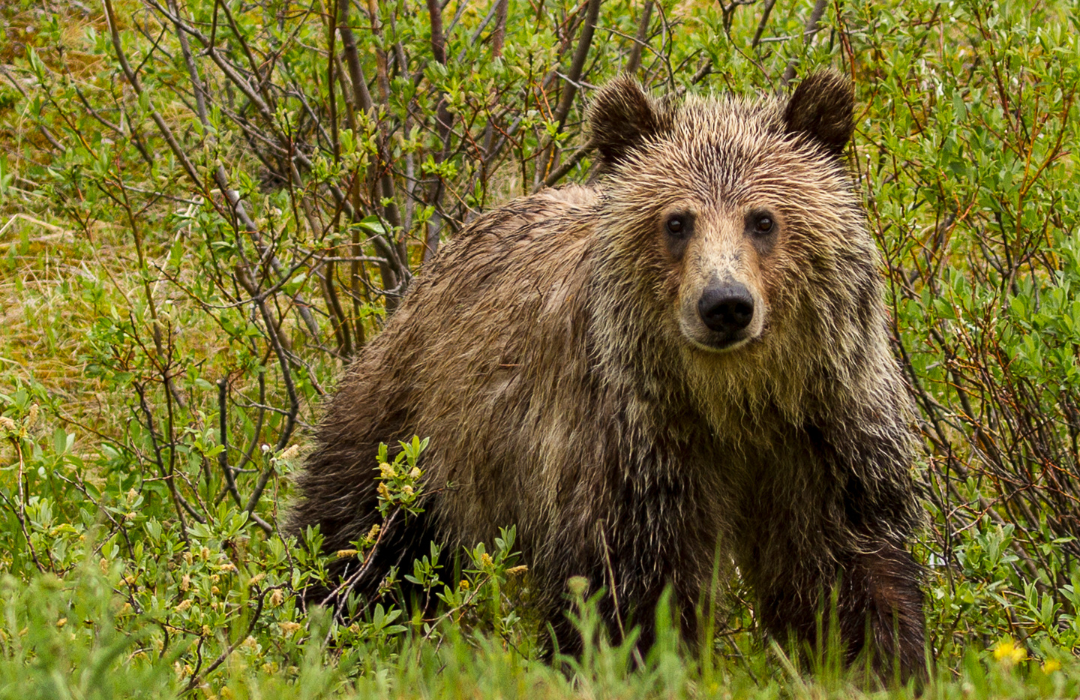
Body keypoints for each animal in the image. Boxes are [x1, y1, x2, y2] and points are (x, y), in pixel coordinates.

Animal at [288, 70, 926, 678]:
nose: (724, 303)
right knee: (359, 542)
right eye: (677, 221)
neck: (734, 403)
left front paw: (882, 664)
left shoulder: (824, 431)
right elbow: (625, 592)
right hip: (413, 430)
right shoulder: (632, 449)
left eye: (762, 219)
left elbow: (844, 572)